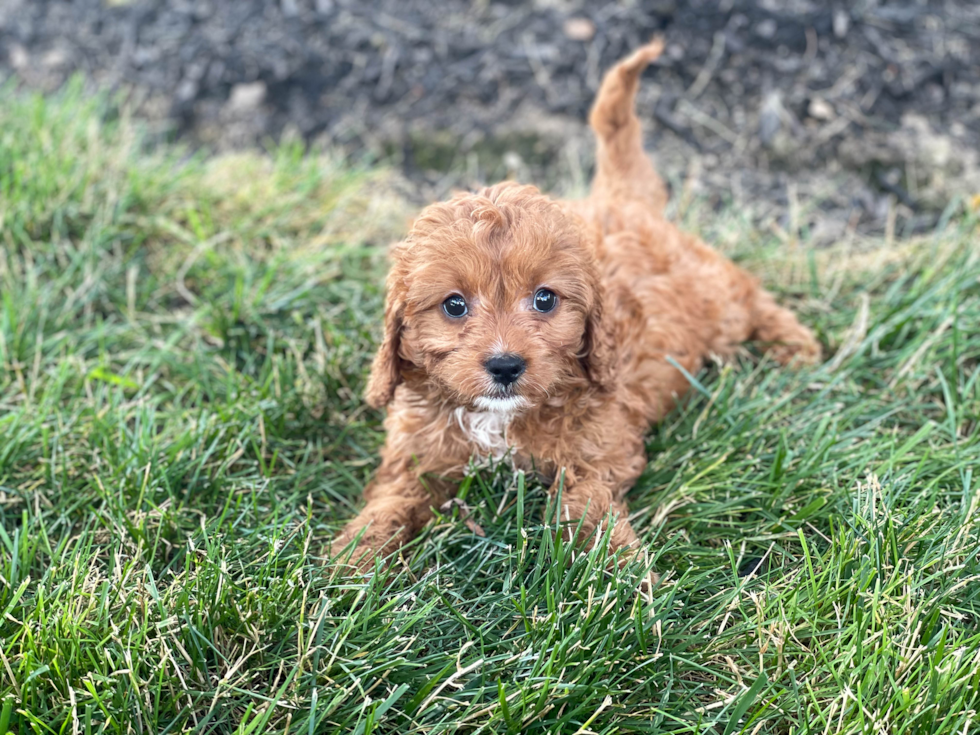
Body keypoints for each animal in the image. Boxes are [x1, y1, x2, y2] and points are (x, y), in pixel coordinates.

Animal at [336, 38, 820, 568]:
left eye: (545, 299)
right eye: (454, 305)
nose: (505, 366)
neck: (499, 419)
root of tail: (623, 199)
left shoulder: (601, 448)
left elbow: (584, 502)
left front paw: (621, 570)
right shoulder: (416, 454)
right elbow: (396, 497)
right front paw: (356, 557)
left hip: (714, 300)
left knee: (748, 294)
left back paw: (796, 343)